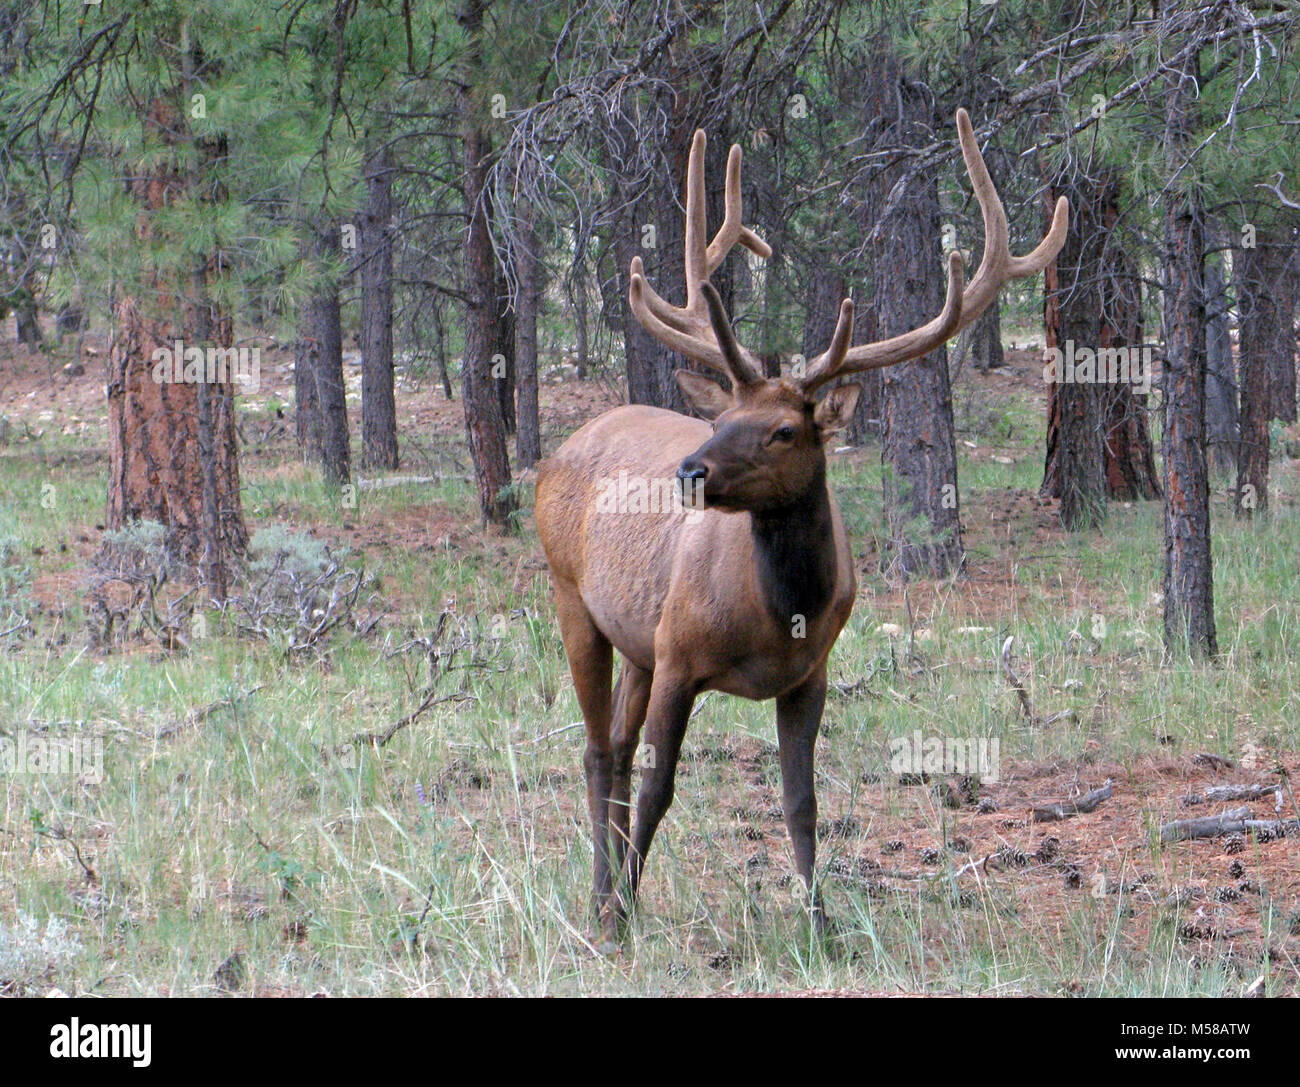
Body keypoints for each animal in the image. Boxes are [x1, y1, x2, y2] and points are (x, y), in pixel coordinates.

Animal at [533, 105, 1071, 946]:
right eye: (723, 414)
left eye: (785, 429)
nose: (690, 470)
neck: (777, 609)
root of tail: (556, 454)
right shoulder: (681, 651)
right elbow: (661, 789)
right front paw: (626, 905)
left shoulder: (808, 672)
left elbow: (802, 799)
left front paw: (820, 923)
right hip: (571, 597)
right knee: (596, 752)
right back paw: (604, 900)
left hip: (635, 638)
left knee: (613, 746)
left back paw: (605, 892)